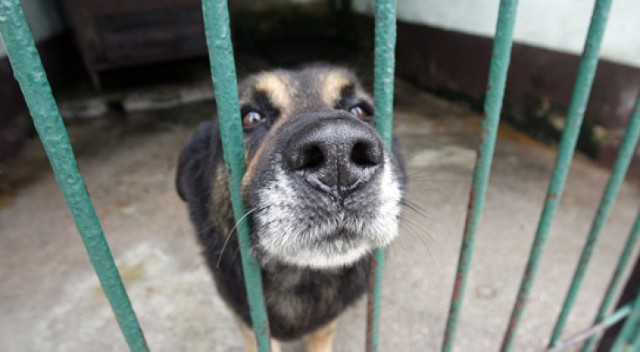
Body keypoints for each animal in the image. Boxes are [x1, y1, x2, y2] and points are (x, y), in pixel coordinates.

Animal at [175, 64, 408, 350]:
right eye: (251, 117)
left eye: (359, 111)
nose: (338, 156)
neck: (298, 279)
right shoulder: (250, 325)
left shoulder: (325, 322)